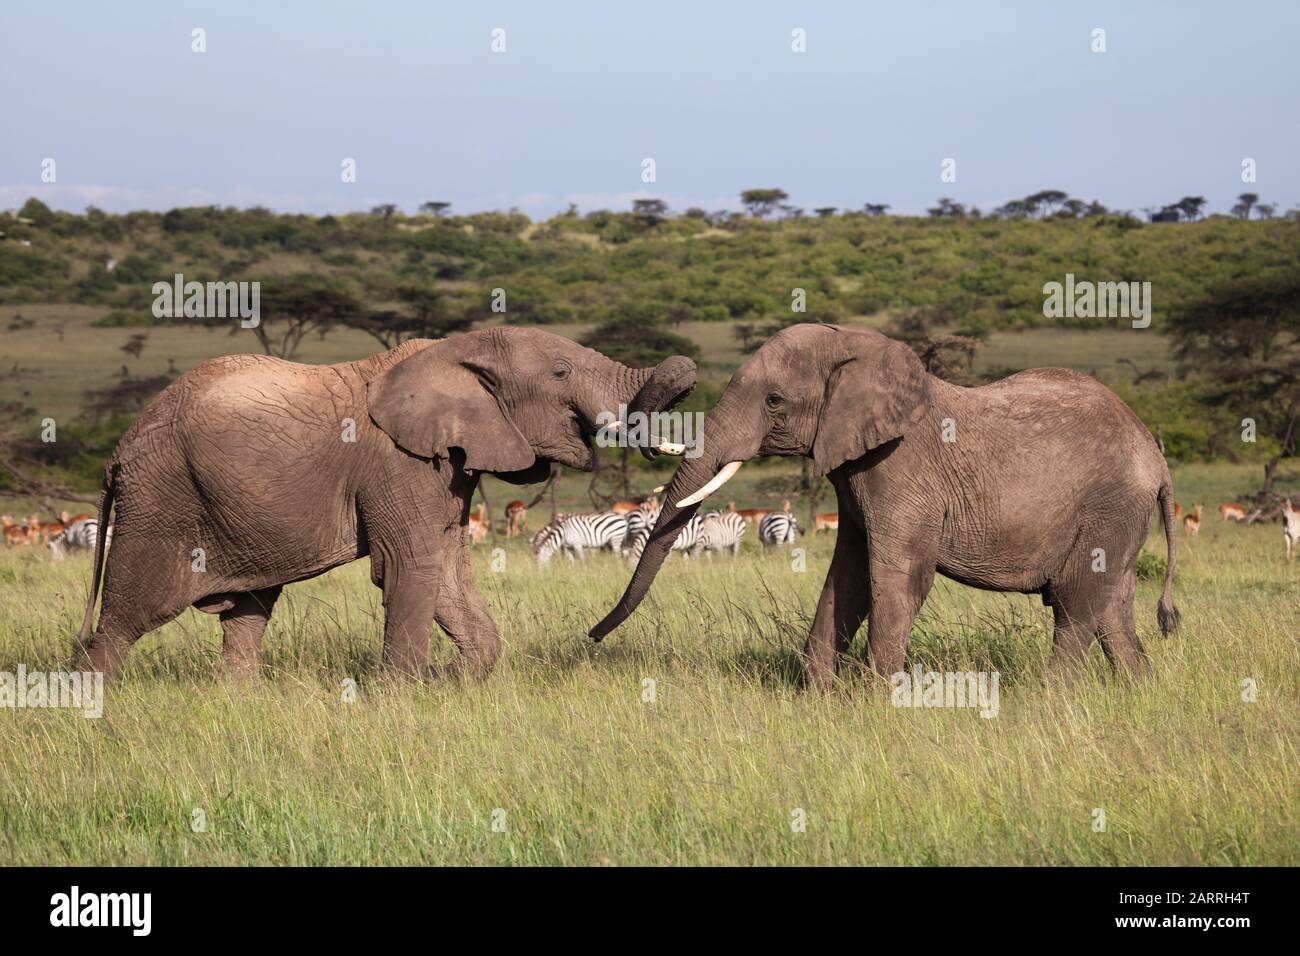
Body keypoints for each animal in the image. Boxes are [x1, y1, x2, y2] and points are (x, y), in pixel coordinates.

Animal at [72, 329, 696, 681]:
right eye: (561, 372)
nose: (688, 371)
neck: (455, 351)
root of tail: (120, 449)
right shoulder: (398, 464)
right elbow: (412, 565)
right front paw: (405, 693)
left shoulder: (449, 467)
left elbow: (447, 570)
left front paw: (448, 678)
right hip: (161, 499)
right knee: (125, 618)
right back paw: (92, 709)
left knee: (247, 614)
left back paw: (238, 702)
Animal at [595, 325, 1185, 686]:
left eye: (774, 401)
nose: (592, 636)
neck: (856, 349)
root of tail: (1156, 458)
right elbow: (848, 575)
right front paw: (816, 698)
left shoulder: (903, 469)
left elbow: (898, 576)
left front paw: (881, 703)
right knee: (1111, 606)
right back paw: (1139, 693)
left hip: (1109, 504)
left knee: (1074, 602)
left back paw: (1049, 701)